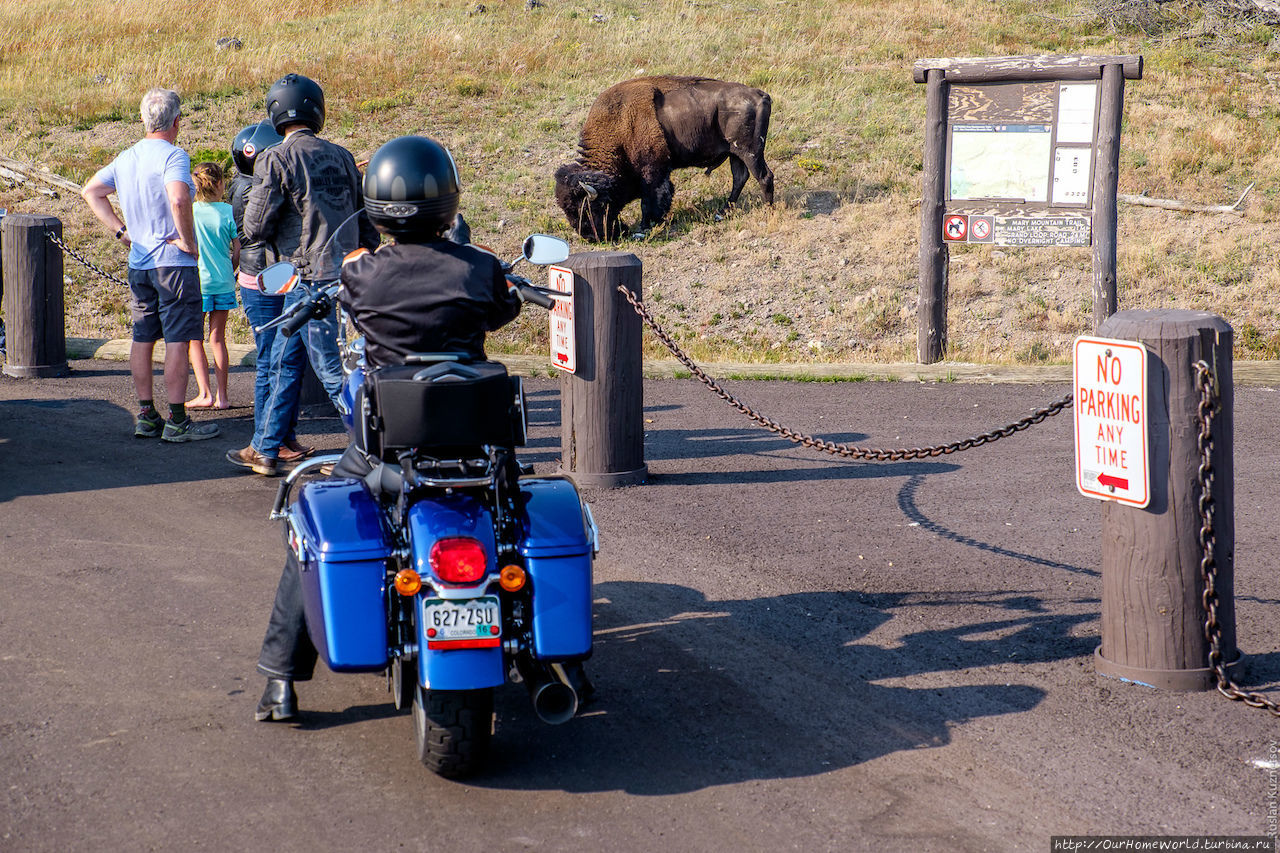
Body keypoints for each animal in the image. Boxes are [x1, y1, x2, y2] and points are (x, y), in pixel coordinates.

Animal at [550, 75, 768, 240]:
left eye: (587, 208)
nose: (590, 236)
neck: (618, 127)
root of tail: (760, 94)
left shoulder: (652, 171)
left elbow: (650, 200)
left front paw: (642, 229)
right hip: (735, 154)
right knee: (739, 179)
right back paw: (721, 214)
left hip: (750, 151)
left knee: (764, 177)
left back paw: (768, 209)